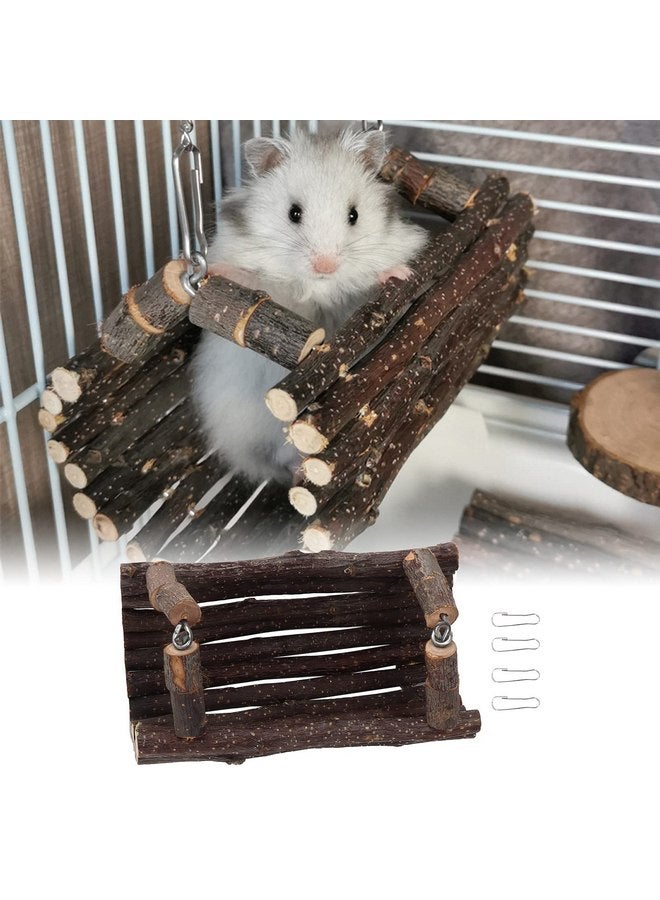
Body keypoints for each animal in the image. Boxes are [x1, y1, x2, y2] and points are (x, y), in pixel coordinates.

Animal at [190, 127, 429, 486]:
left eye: (353, 215)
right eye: (294, 213)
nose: (326, 266)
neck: (318, 286)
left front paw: (399, 274)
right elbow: (262, 286)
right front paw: (215, 271)